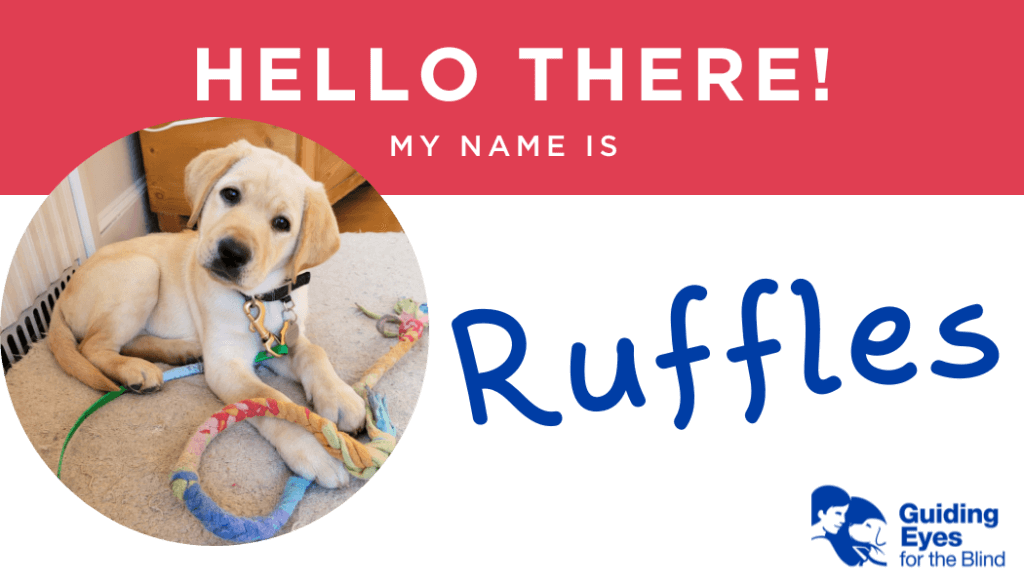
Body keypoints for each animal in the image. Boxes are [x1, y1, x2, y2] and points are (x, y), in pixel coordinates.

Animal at [51, 139, 366, 487]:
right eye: (230, 194)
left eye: (282, 223)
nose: (232, 253)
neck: (259, 299)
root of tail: (61, 296)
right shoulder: (227, 365)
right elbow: (269, 400)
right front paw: (316, 448)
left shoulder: (282, 341)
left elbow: (314, 352)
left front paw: (341, 399)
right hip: (142, 271)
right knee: (93, 346)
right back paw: (137, 370)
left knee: (126, 341)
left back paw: (180, 351)